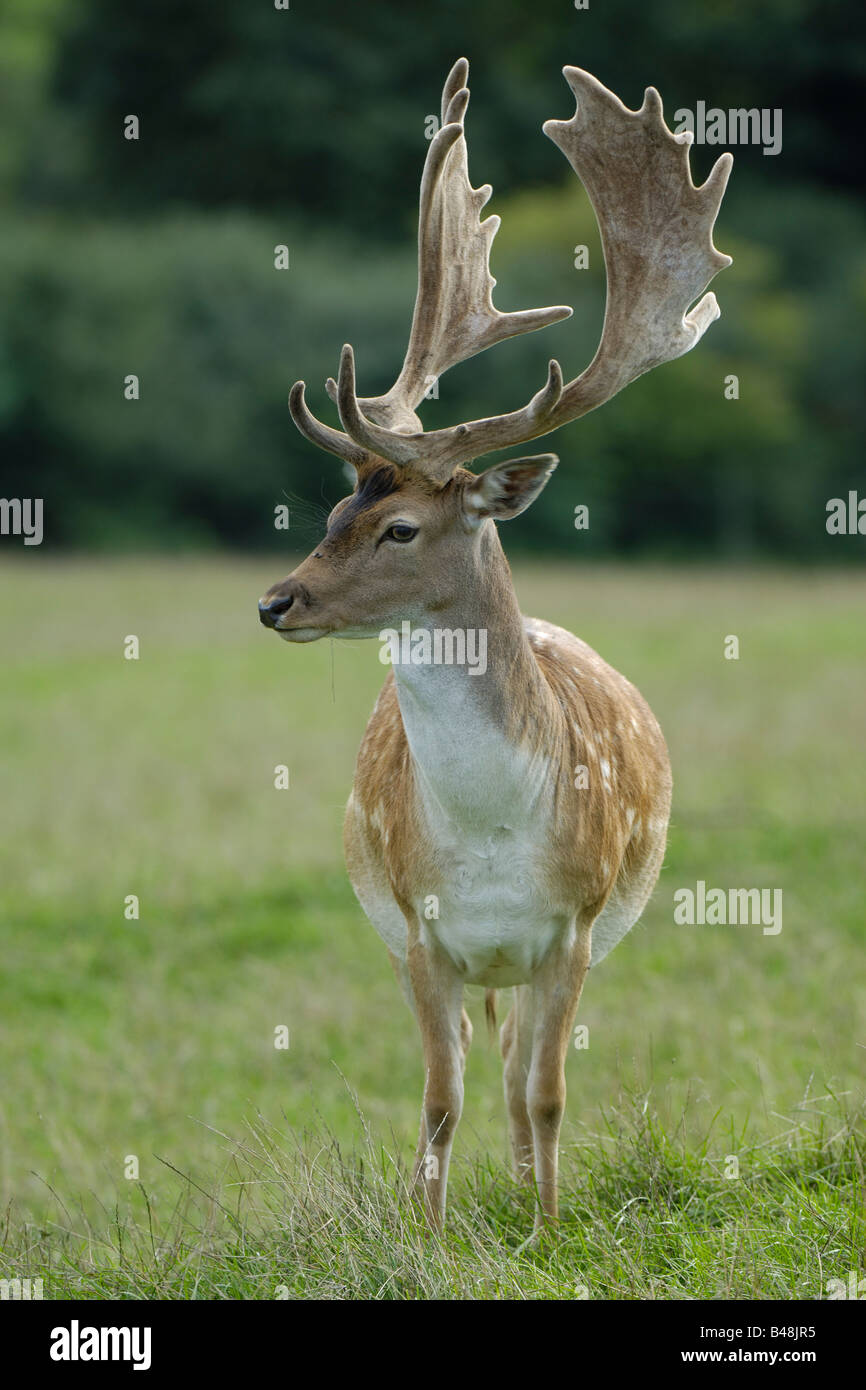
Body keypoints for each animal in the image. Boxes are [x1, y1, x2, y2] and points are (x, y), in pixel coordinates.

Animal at [258, 54, 733, 1234]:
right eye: (330, 512)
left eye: (399, 527)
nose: (277, 602)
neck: (487, 839)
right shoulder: (420, 933)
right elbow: (438, 1098)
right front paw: (426, 1238)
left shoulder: (573, 924)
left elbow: (548, 1094)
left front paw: (549, 1228)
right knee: (487, 1068)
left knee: (523, 1072)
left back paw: (526, 1197)